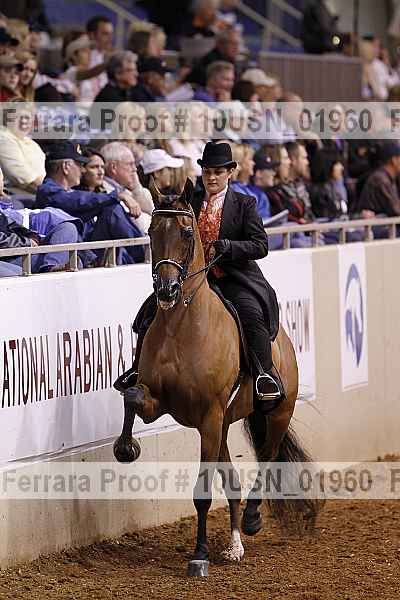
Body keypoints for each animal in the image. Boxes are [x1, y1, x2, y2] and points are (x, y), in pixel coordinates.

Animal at [113, 179, 321, 576]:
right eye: (151, 231)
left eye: (186, 232)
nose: (166, 290)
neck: (181, 325)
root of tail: (285, 343)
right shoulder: (160, 401)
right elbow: (132, 396)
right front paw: (125, 447)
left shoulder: (208, 415)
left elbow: (203, 492)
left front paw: (199, 556)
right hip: (223, 425)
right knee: (234, 480)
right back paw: (235, 546)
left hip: (274, 413)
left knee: (267, 459)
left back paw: (253, 520)